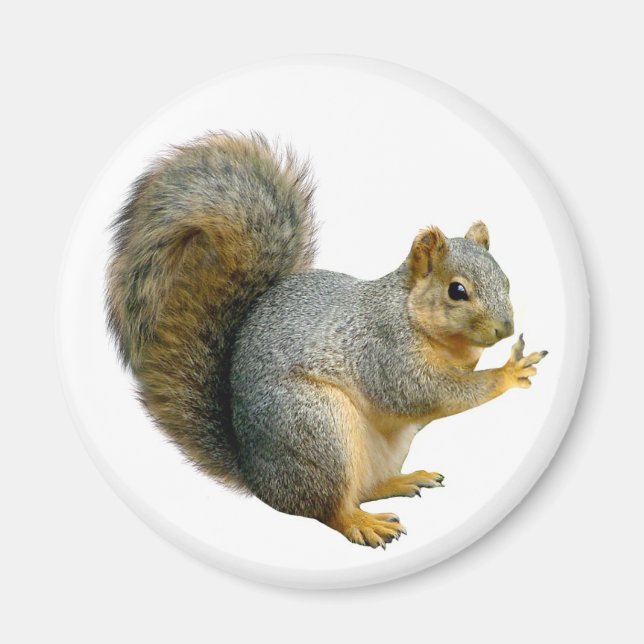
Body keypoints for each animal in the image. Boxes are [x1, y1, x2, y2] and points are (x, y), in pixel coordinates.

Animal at [106, 131, 547, 549]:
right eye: (457, 291)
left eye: (505, 279)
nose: (505, 329)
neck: (411, 313)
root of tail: (257, 477)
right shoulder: (384, 350)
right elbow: (424, 393)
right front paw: (508, 371)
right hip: (316, 427)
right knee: (329, 508)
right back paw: (363, 524)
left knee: (365, 488)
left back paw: (402, 481)